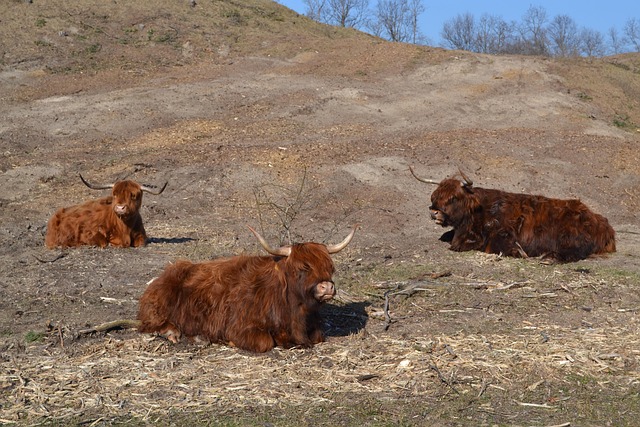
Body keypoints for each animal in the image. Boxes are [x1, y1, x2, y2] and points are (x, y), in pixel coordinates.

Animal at [137, 225, 357, 352]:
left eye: (330, 267)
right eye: (302, 268)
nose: (327, 286)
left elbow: (318, 336)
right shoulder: (240, 327)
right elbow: (265, 342)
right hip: (157, 311)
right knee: (151, 325)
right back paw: (174, 333)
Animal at [410, 167, 616, 263]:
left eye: (453, 197)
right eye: (435, 195)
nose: (434, 211)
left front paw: (518, 252)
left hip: (570, 238)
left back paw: (547, 258)